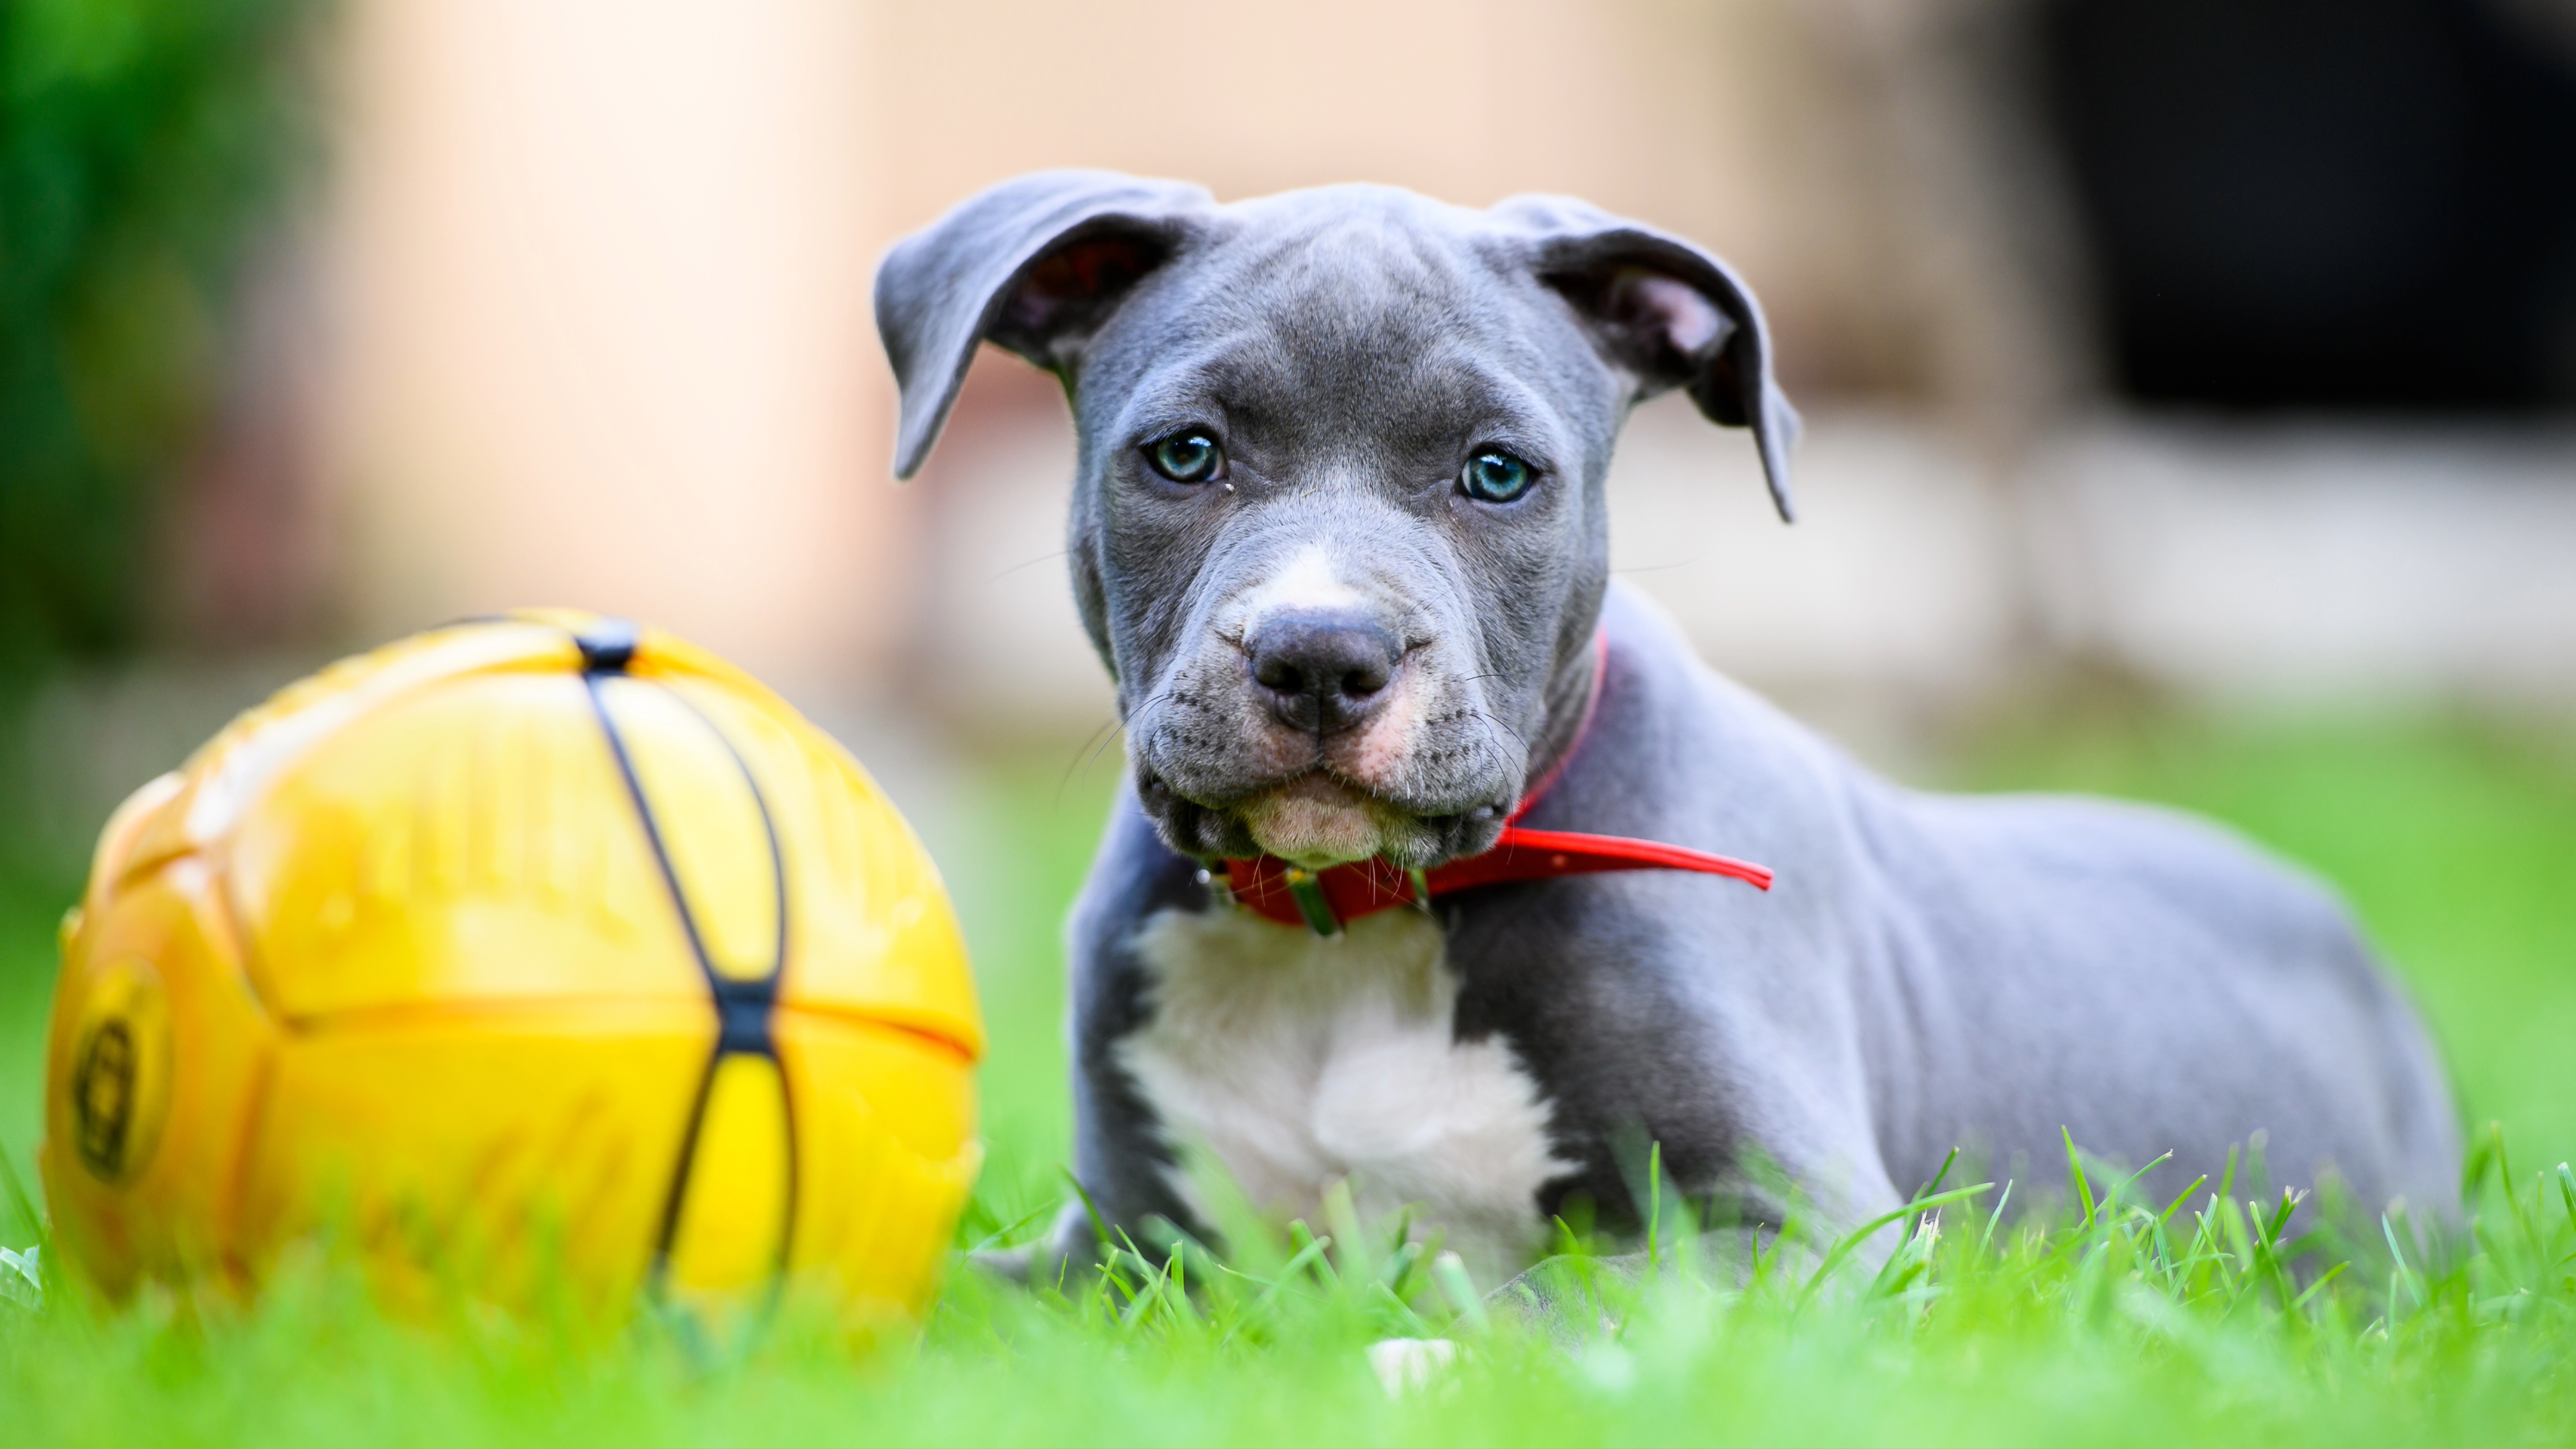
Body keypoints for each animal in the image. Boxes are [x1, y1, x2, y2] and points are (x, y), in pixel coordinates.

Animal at [876, 170, 2463, 1292]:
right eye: (1185, 455)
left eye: (1497, 473)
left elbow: (1536, 1296)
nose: (1322, 656)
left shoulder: (1806, 1226)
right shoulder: (1131, 1250)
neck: (1358, 931)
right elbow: (952, 1290)